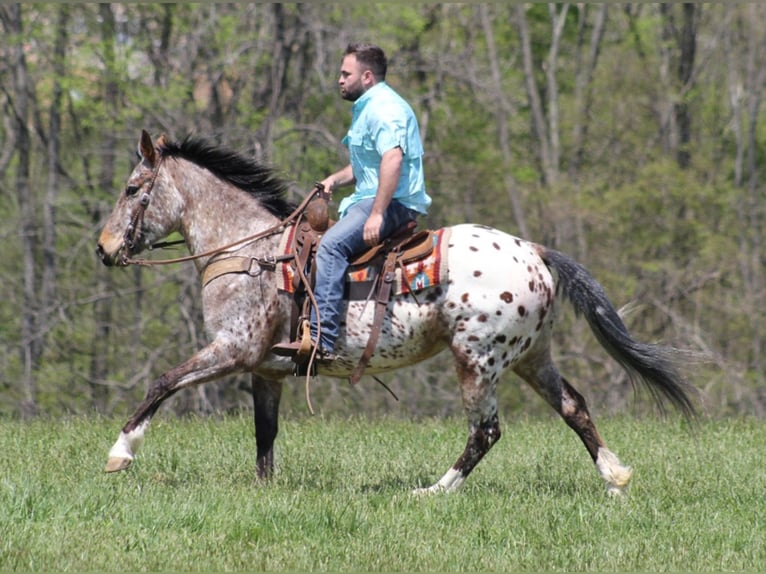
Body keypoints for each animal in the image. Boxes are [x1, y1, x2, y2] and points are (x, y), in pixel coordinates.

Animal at [96, 129, 696, 496]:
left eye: (132, 188)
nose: (103, 248)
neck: (250, 252)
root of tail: (534, 251)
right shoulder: (266, 370)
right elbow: (264, 435)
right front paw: (265, 490)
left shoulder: (233, 350)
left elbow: (163, 382)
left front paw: (121, 452)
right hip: (531, 357)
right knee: (573, 406)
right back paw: (614, 476)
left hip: (476, 360)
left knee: (486, 431)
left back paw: (433, 490)